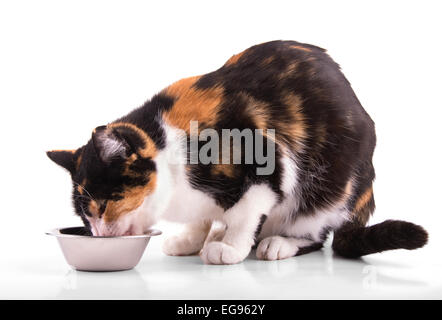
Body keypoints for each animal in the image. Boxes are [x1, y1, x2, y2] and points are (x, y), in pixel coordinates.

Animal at [46, 40, 426, 264]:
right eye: (85, 217)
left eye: (103, 205)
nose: (97, 235)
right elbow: (200, 217)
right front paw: (193, 238)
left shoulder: (269, 161)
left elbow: (247, 211)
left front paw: (230, 247)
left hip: (330, 188)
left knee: (319, 236)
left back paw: (278, 243)